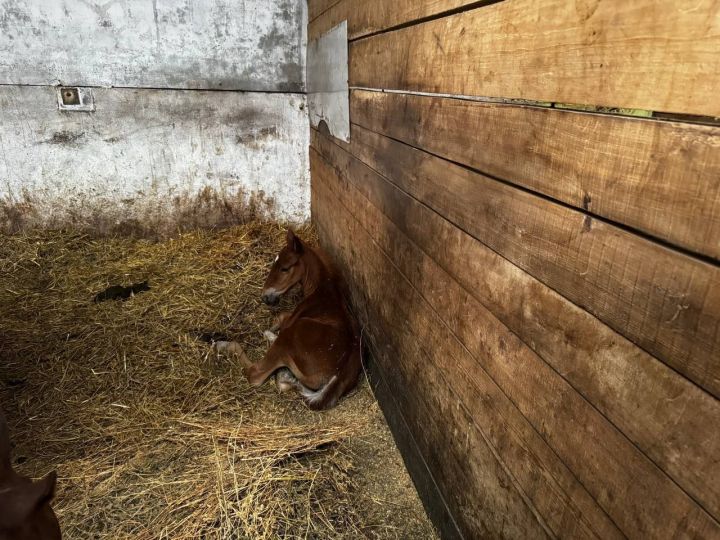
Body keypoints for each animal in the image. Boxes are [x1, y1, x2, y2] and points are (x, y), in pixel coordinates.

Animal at [214, 230, 360, 412]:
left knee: (255, 373)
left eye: (285, 268)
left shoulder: (292, 320)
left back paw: (222, 344)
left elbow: (281, 317)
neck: (323, 291)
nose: (266, 297)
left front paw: (269, 331)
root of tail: (340, 374)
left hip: (290, 336)